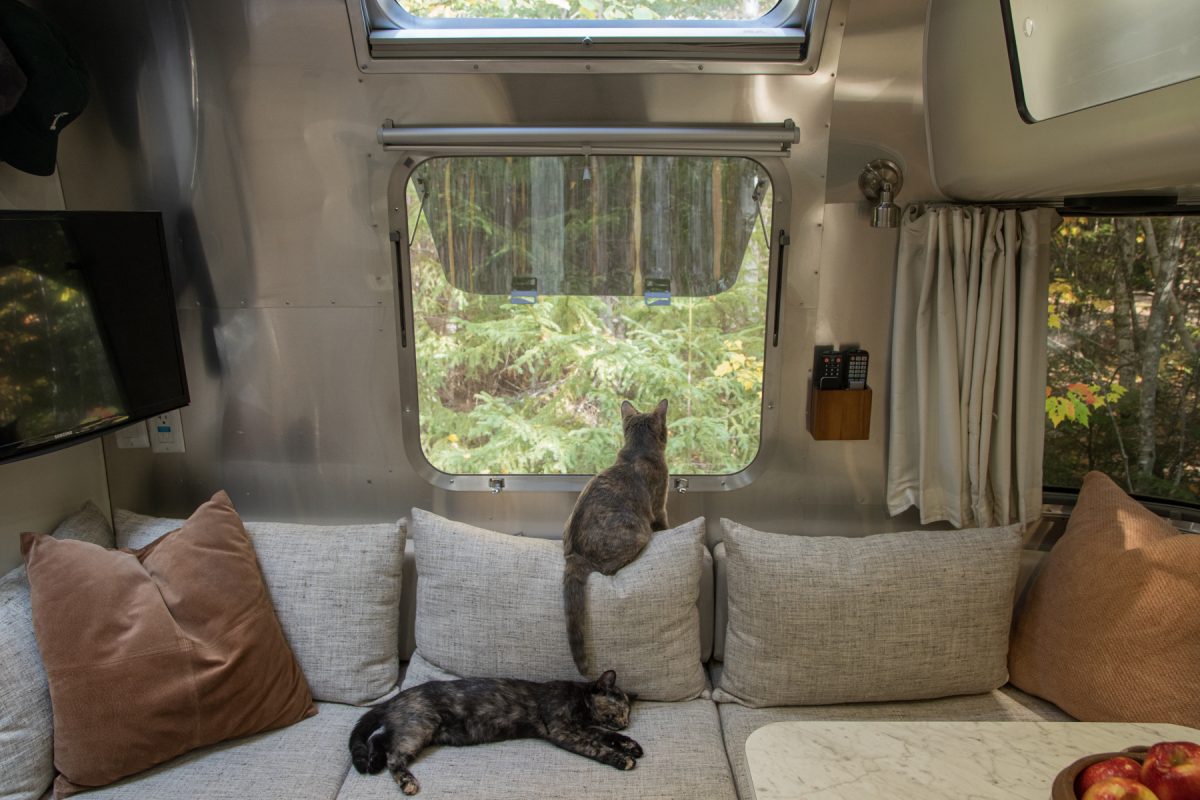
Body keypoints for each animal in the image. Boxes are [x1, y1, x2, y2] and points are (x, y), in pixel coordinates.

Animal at [348, 671, 643, 796]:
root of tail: (394, 699)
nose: (626, 723)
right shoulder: (563, 730)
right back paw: (406, 781)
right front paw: (622, 758)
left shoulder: (582, 727)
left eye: (629, 713)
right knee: (393, 755)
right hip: (419, 727)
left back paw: (372, 762)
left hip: (413, 729)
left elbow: (604, 735)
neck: (580, 702)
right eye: (620, 709)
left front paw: (631, 745)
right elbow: (597, 745)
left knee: (379, 738)